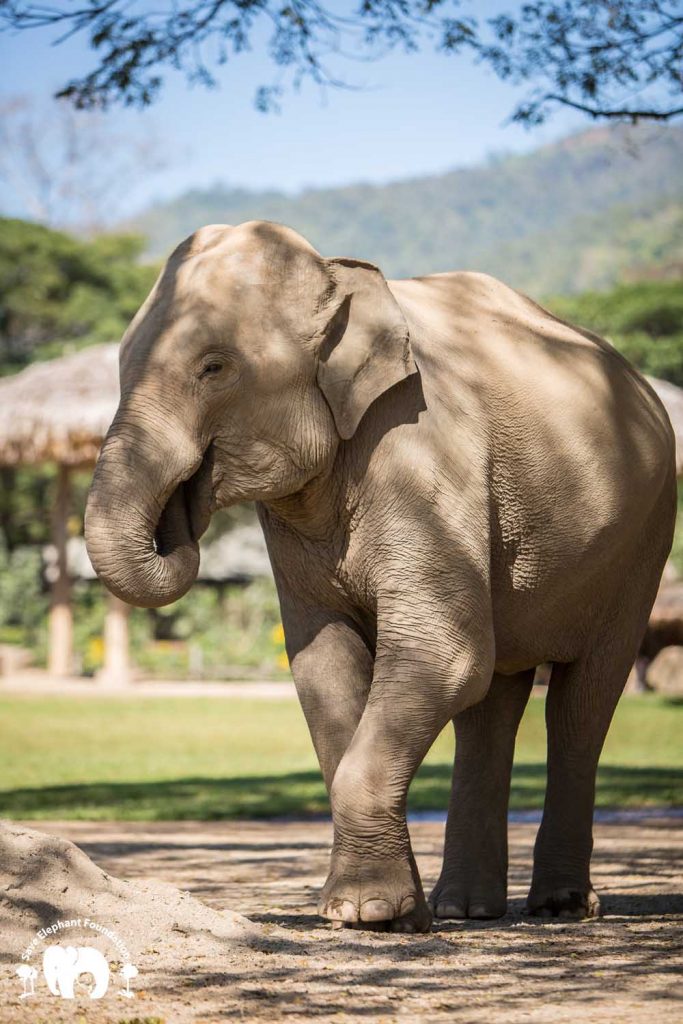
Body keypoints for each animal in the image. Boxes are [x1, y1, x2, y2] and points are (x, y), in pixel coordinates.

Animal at [85, 220, 676, 933]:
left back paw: (558, 908)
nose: (181, 519)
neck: (339, 277)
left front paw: (369, 915)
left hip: (644, 538)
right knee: (492, 699)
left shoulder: (422, 451)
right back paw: (464, 910)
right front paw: (381, 913)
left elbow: (442, 654)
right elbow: (325, 663)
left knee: (582, 699)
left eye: (214, 368)